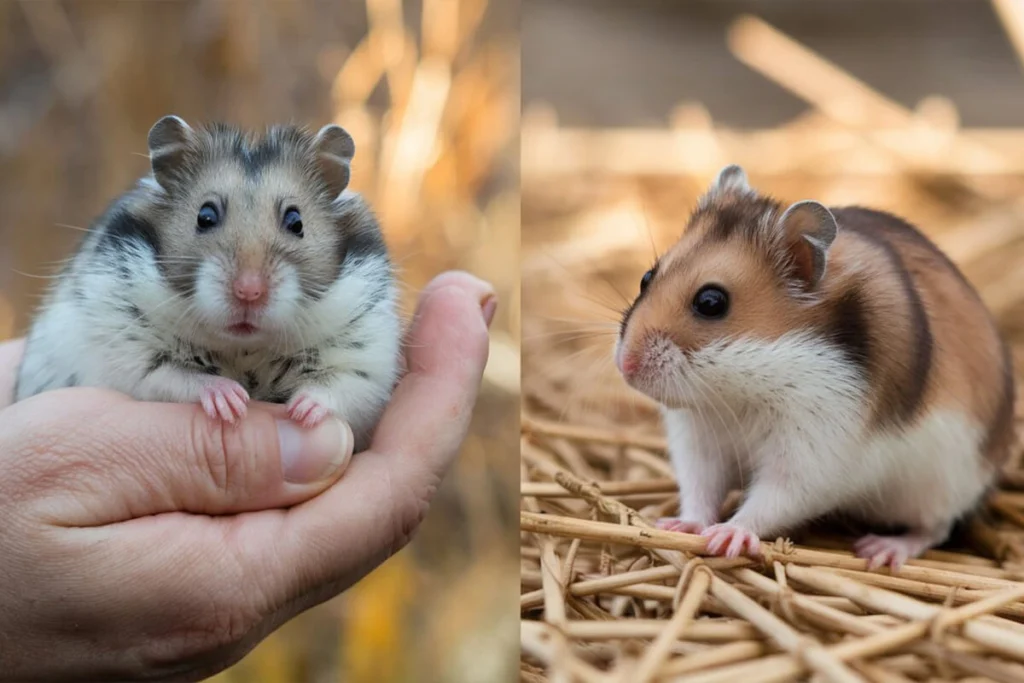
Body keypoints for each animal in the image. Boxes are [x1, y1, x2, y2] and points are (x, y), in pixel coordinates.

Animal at [16, 114, 401, 450]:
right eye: (205, 216)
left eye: (296, 221)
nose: (249, 292)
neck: (245, 348)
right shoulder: (129, 351)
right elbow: (173, 377)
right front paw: (230, 401)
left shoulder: (367, 361)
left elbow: (341, 387)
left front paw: (301, 411)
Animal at [610, 166, 1011, 573]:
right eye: (646, 278)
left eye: (711, 302)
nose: (625, 365)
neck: (744, 390)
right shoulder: (698, 440)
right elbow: (699, 489)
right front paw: (678, 526)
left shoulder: (814, 454)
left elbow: (771, 500)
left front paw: (726, 537)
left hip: (942, 484)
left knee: (934, 528)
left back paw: (879, 550)